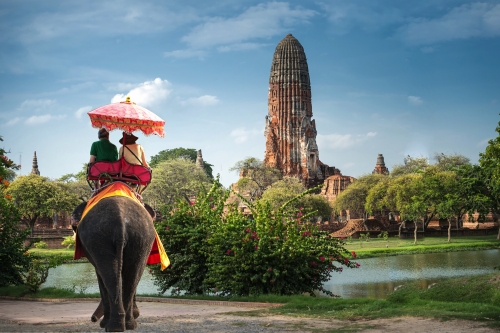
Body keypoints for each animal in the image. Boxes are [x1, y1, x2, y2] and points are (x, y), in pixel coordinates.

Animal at [72, 196, 156, 330]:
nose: (93, 319)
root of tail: (120, 221)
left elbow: (100, 275)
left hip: (99, 238)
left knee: (108, 275)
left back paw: (112, 326)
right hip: (141, 238)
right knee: (132, 274)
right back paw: (127, 325)